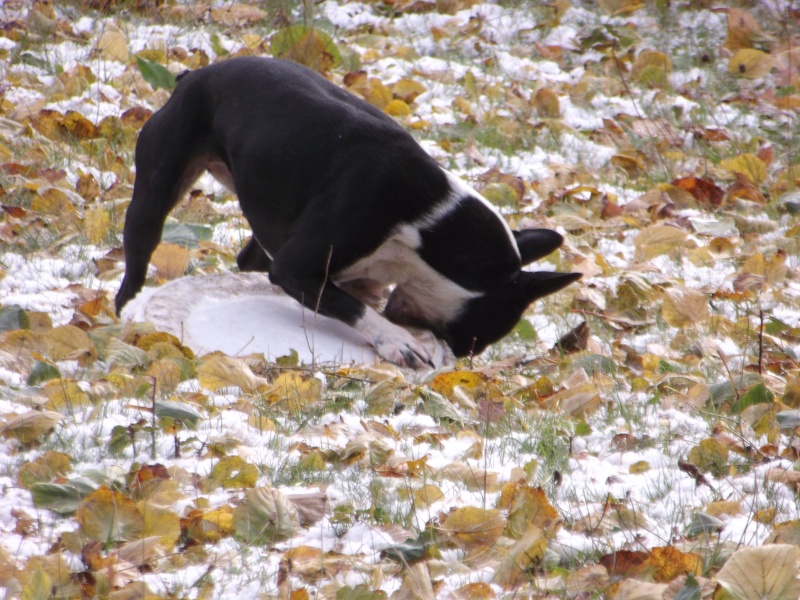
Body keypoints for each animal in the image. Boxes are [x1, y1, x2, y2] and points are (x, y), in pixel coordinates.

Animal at [115, 57, 580, 366]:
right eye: (477, 331)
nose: (466, 354)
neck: (430, 229)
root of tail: (195, 75)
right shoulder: (298, 268)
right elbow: (350, 308)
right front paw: (397, 341)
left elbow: (351, 297)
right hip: (156, 192)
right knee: (136, 262)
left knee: (251, 256)